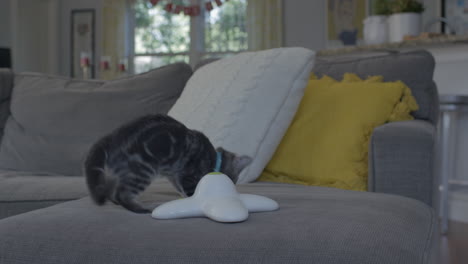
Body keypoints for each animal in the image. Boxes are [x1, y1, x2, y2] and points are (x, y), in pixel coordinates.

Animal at [84, 114, 252, 213]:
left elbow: (180, 189)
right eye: (233, 180)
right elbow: (192, 192)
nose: (233, 186)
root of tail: (112, 137)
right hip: (143, 170)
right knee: (122, 195)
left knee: (112, 191)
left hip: (121, 172)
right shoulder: (188, 176)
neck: (213, 158)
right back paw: (142, 208)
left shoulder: (175, 175)